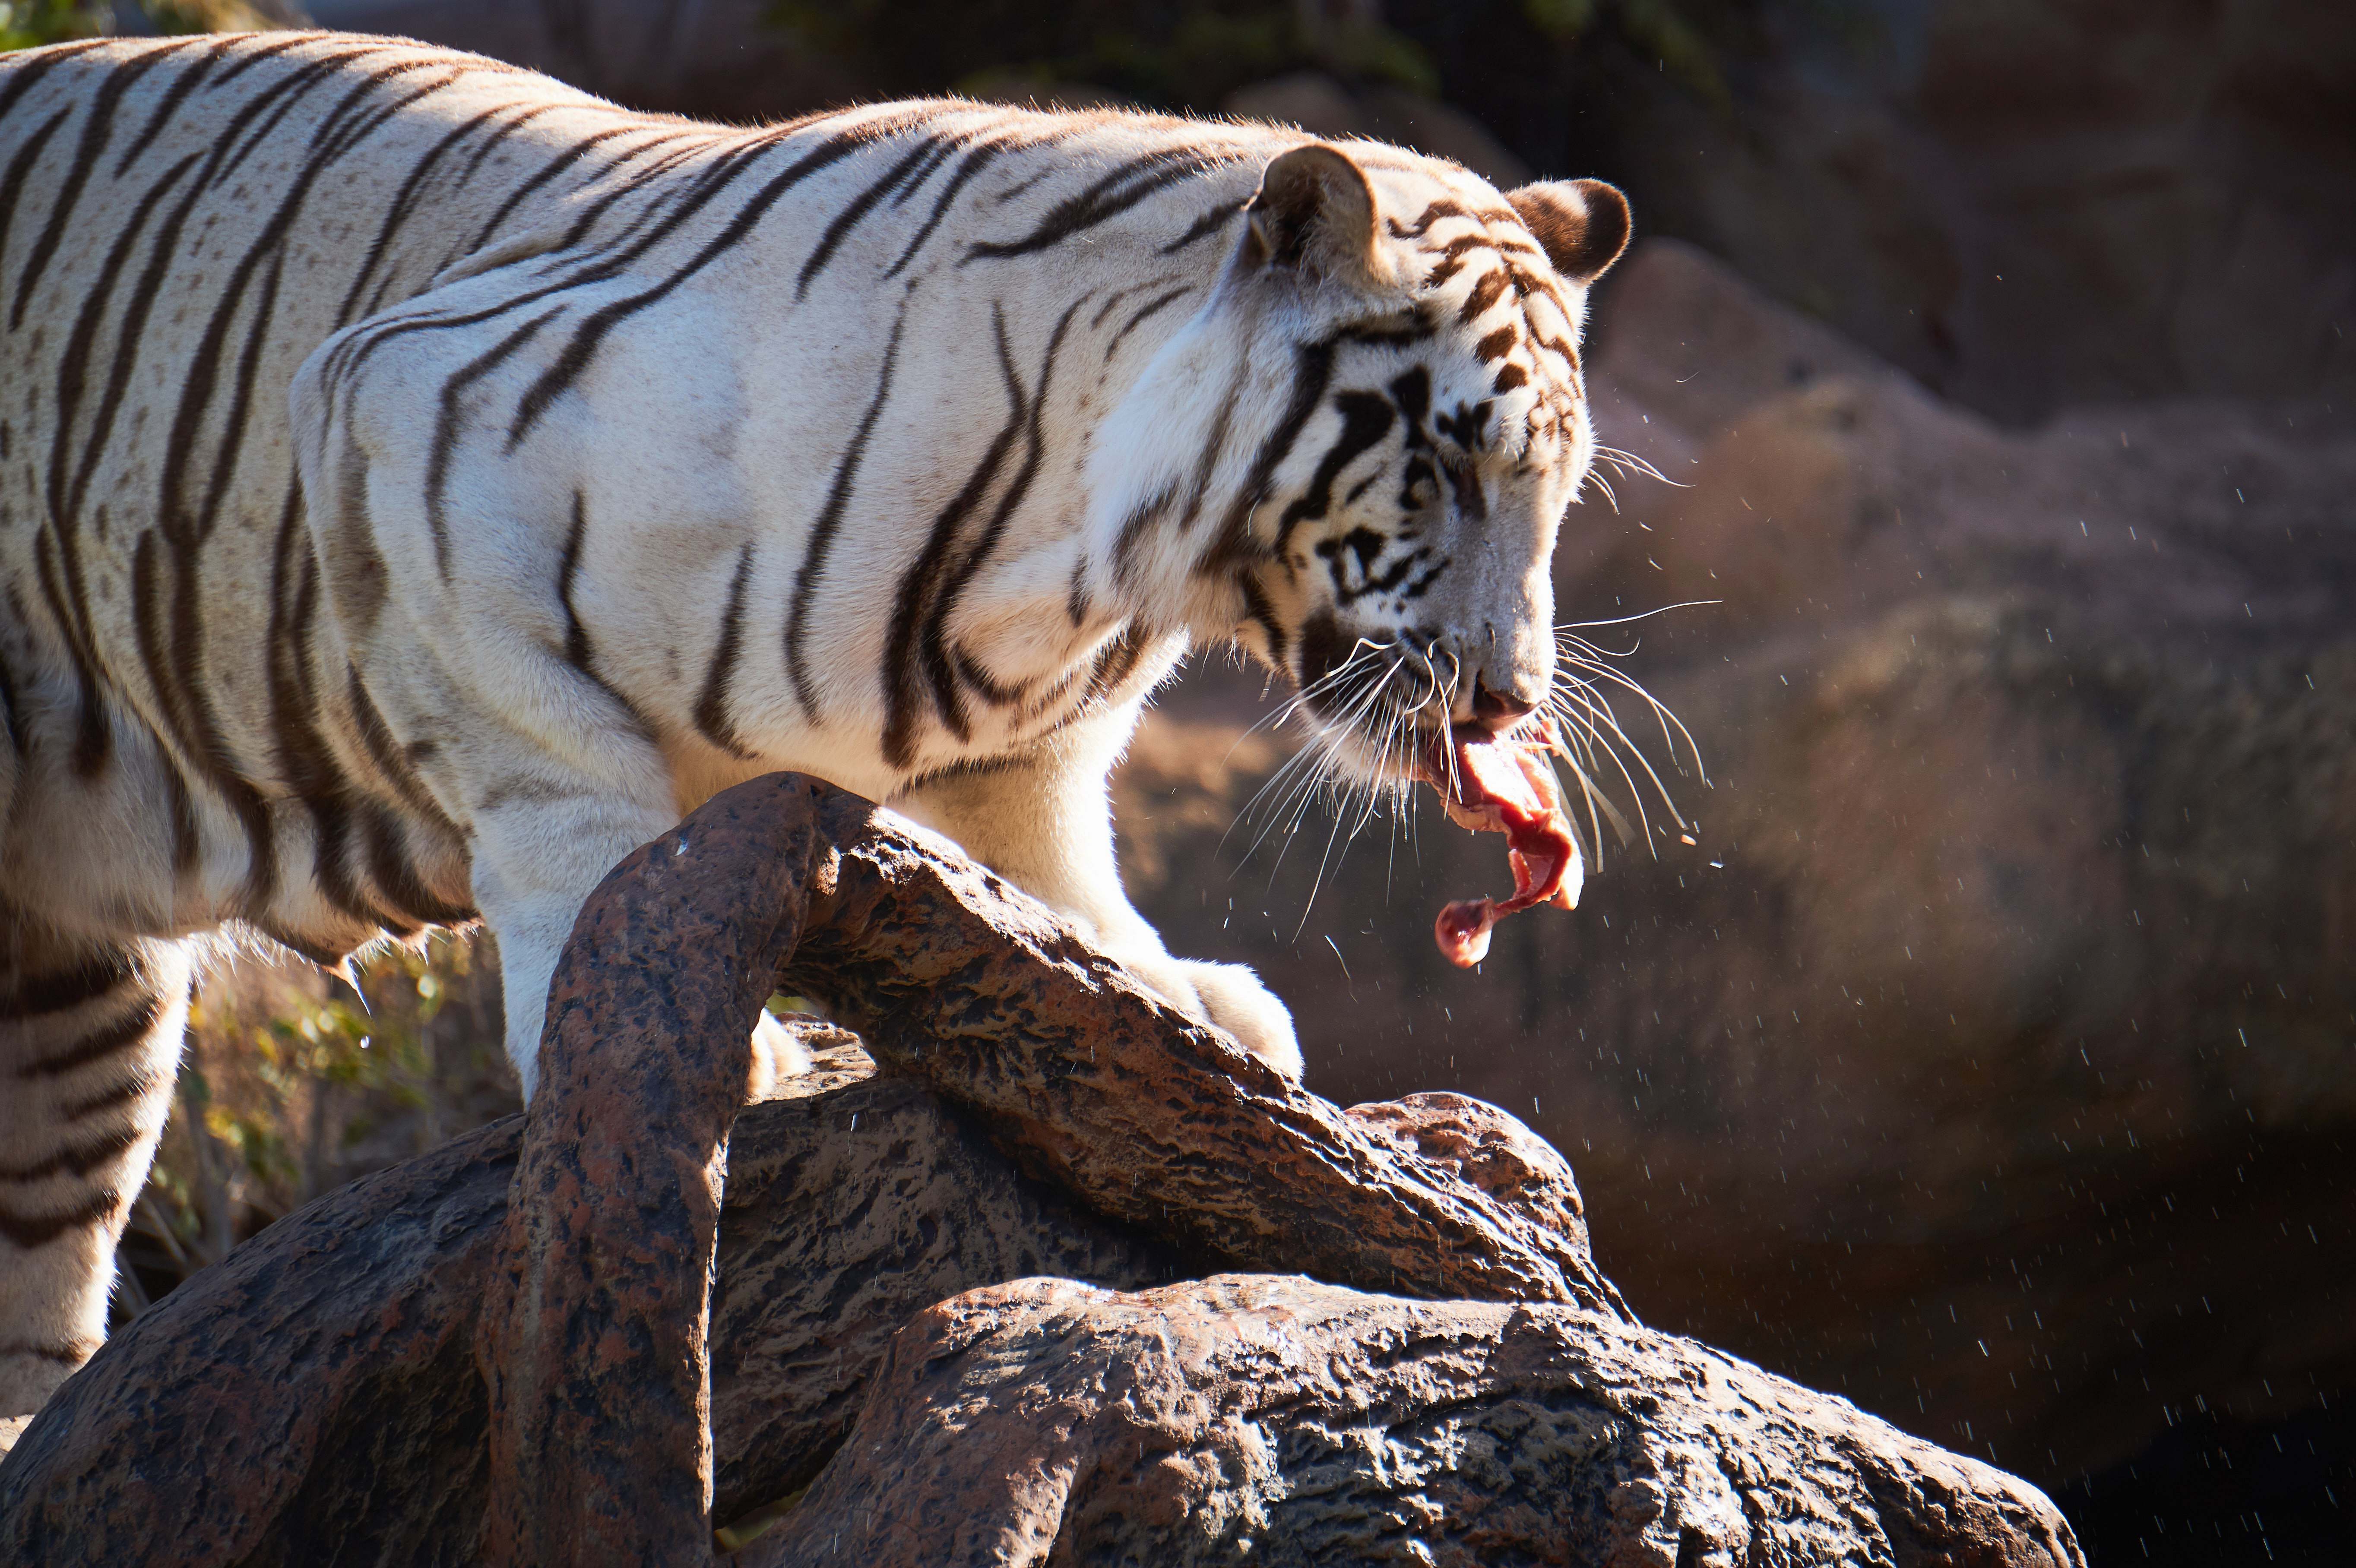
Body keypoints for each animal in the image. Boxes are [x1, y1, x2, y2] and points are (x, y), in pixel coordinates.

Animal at [0, 30, 1621, 1431]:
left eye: (1555, 483)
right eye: (1445, 463)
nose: (1509, 698)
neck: (1087, 575)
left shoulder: (1021, 747)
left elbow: (1061, 865)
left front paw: (1182, 999)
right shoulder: (404, 418)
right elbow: (573, 801)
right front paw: (654, 1022)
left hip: (72, 1014)